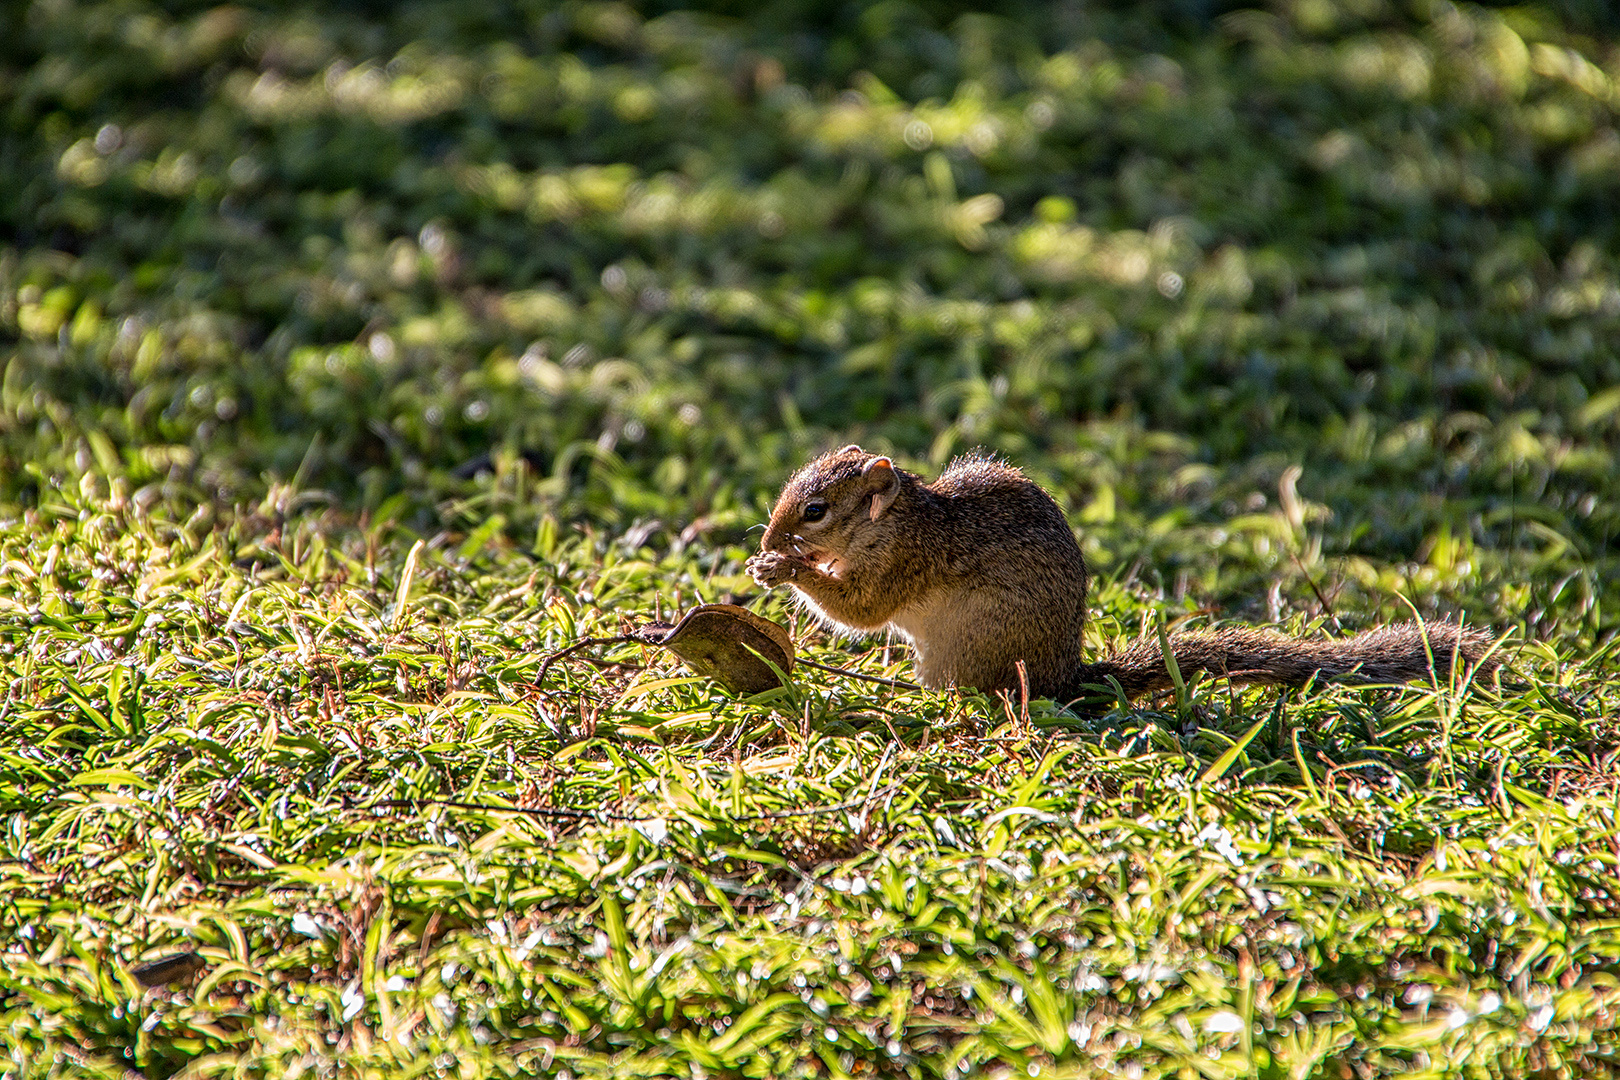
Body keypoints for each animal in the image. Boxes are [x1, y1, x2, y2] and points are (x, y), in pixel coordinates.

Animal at [741, 443, 1490, 705]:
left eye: (813, 510)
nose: (771, 537)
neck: (896, 520)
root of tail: (1064, 675)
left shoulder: (902, 564)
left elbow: (860, 610)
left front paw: (785, 565)